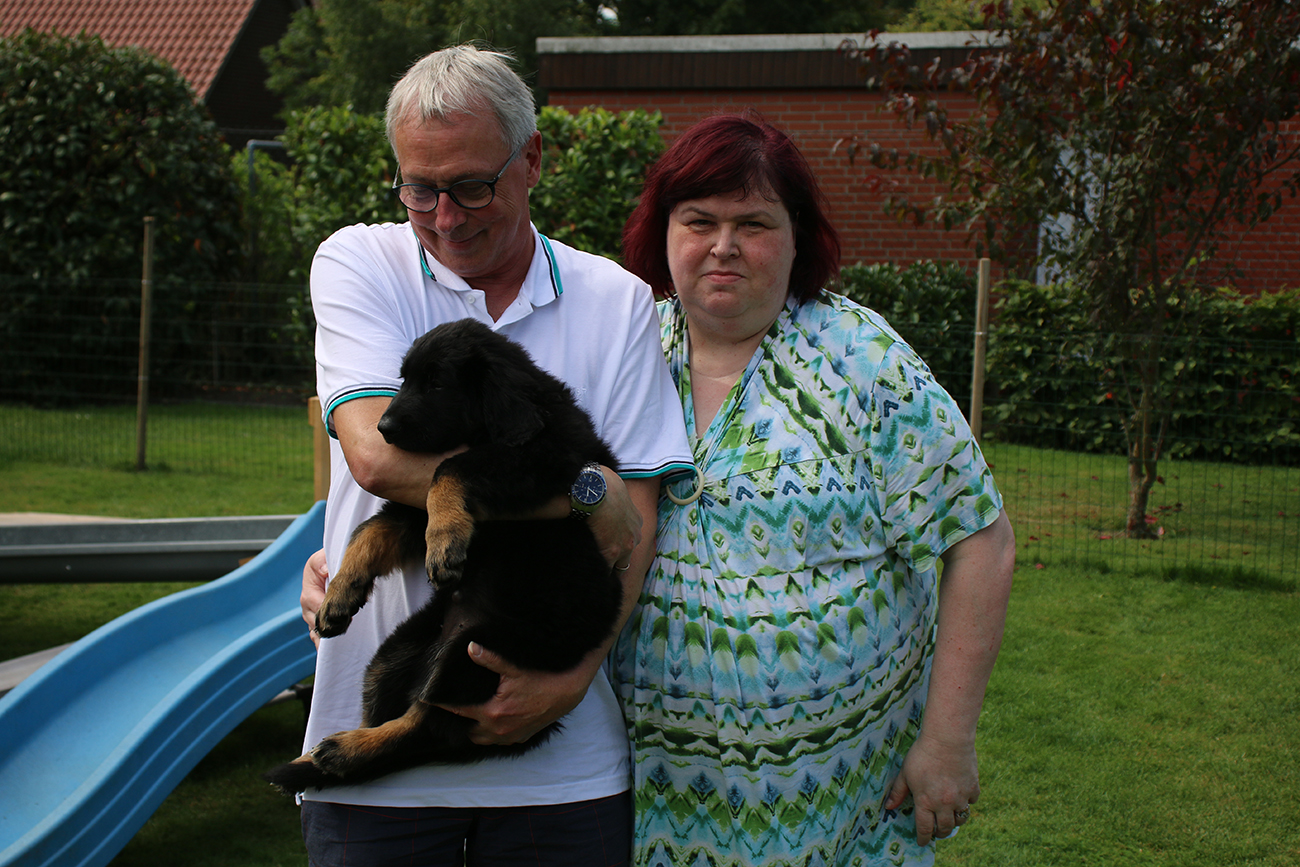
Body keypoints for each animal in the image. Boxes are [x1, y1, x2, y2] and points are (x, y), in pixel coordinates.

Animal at [264, 318, 623, 793]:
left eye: (437, 384)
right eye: (405, 379)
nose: (383, 427)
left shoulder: (543, 460)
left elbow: (450, 468)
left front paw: (447, 537)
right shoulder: (410, 514)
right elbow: (368, 534)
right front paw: (338, 595)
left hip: (476, 652)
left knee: (426, 726)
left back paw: (343, 750)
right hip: (399, 650)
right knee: (397, 712)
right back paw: (327, 758)